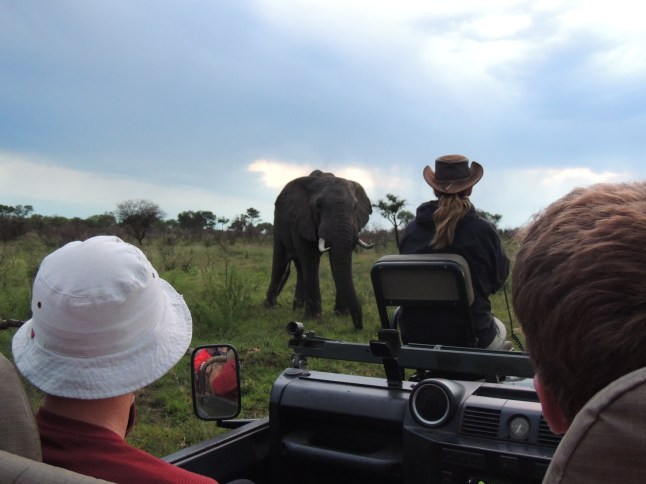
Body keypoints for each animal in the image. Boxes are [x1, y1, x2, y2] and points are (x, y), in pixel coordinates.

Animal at [264, 170, 373, 329]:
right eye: (319, 205)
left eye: (355, 207)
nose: (358, 326)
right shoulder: (303, 218)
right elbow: (310, 258)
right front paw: (314, 319)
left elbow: (335, 260)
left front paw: (341, 315)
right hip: (278, 225)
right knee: (280, 262)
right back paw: (269, 307)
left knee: (300, 267)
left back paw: (297, 308)